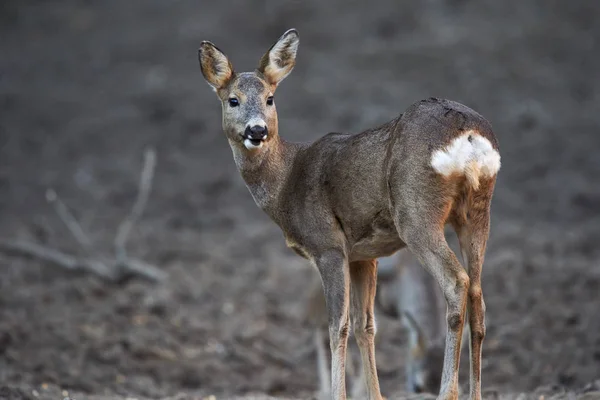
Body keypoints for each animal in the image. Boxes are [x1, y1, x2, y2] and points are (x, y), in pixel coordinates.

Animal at [199, 28, 500, 400]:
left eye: (270, 98)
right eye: (233, 100)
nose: (257, 131)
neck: (286, 183)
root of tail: (468, 135)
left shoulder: (328, 245)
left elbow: (337, 326)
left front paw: (337, 393)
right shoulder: (363, 255)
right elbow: (365, 326)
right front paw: (375, 396)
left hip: (417, 213)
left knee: (457, 282)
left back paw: (448, 392)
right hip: (477, 210)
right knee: (478, 296)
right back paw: (476, 393)